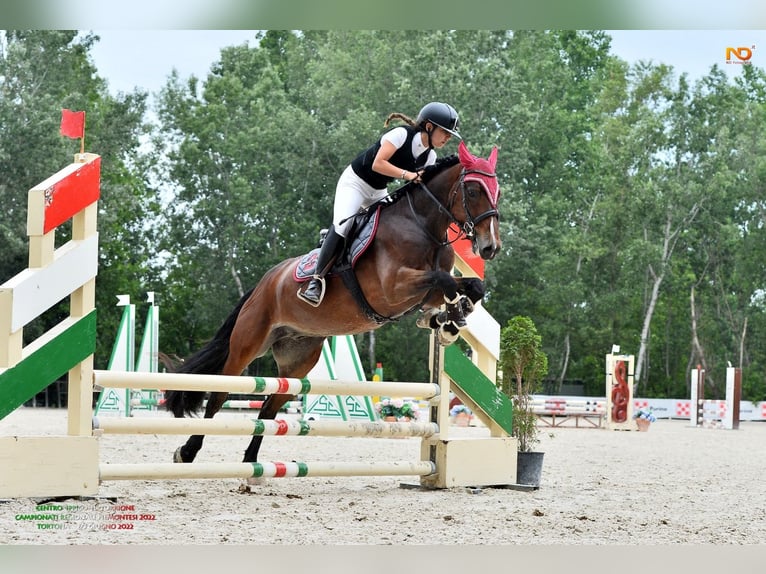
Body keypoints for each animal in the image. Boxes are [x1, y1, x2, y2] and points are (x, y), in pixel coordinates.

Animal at [166, 140, 504, 468]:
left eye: (497, 191)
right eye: (473, 191)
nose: (490, 247)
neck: (423, 227)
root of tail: (263, 284)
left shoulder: (423, 289)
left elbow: (469, 286)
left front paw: (447, 321)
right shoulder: (392, 289)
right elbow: (444, 280)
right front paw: (451, 318)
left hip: (298, 359)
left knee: (269, 407)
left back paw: (252, 463)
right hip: (247, 344)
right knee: (219, 394)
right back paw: (188, 452)